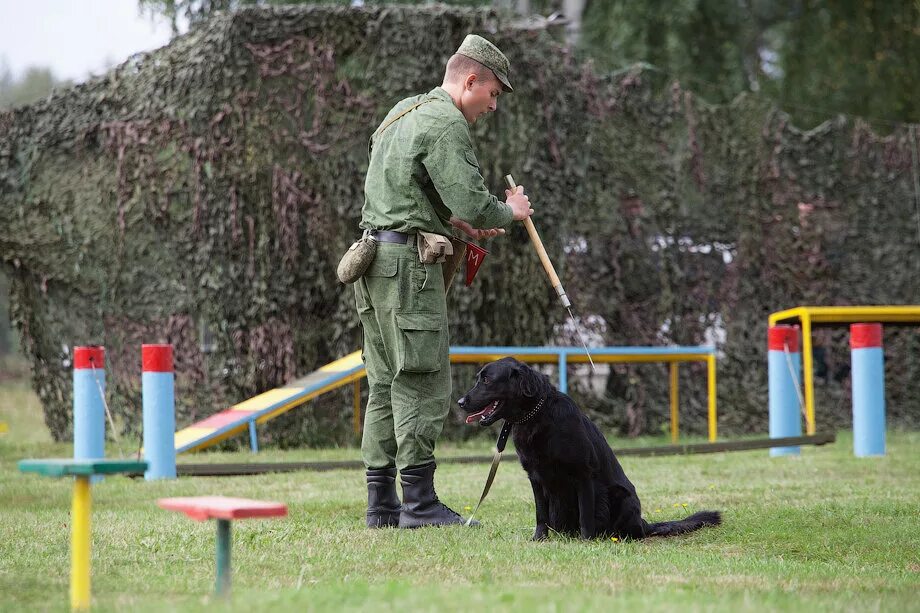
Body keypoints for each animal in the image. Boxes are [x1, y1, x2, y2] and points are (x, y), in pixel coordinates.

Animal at [456, 356, 724, 536]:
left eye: (486, 380)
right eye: (479, 378)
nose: (459, 402)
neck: (537, 415)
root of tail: (644, 523)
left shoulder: (583, 474)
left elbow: (586, 514)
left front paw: (586, 541)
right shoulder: (535, 477)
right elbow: (540, 514)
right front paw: (539, 539)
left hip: (621, 496)